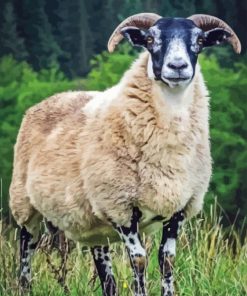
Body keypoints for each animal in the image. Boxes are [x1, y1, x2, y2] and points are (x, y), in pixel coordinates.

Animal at [9, 12, 239, 294]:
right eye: (150, 40)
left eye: (199, 41)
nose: (177, 66)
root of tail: (48, 100)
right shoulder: (121, 208)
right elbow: (139, 260)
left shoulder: (179, 209)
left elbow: (167, 260)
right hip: (25, 206)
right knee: (25, 255)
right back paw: (24, 284)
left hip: (94, 226)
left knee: (106, 276)